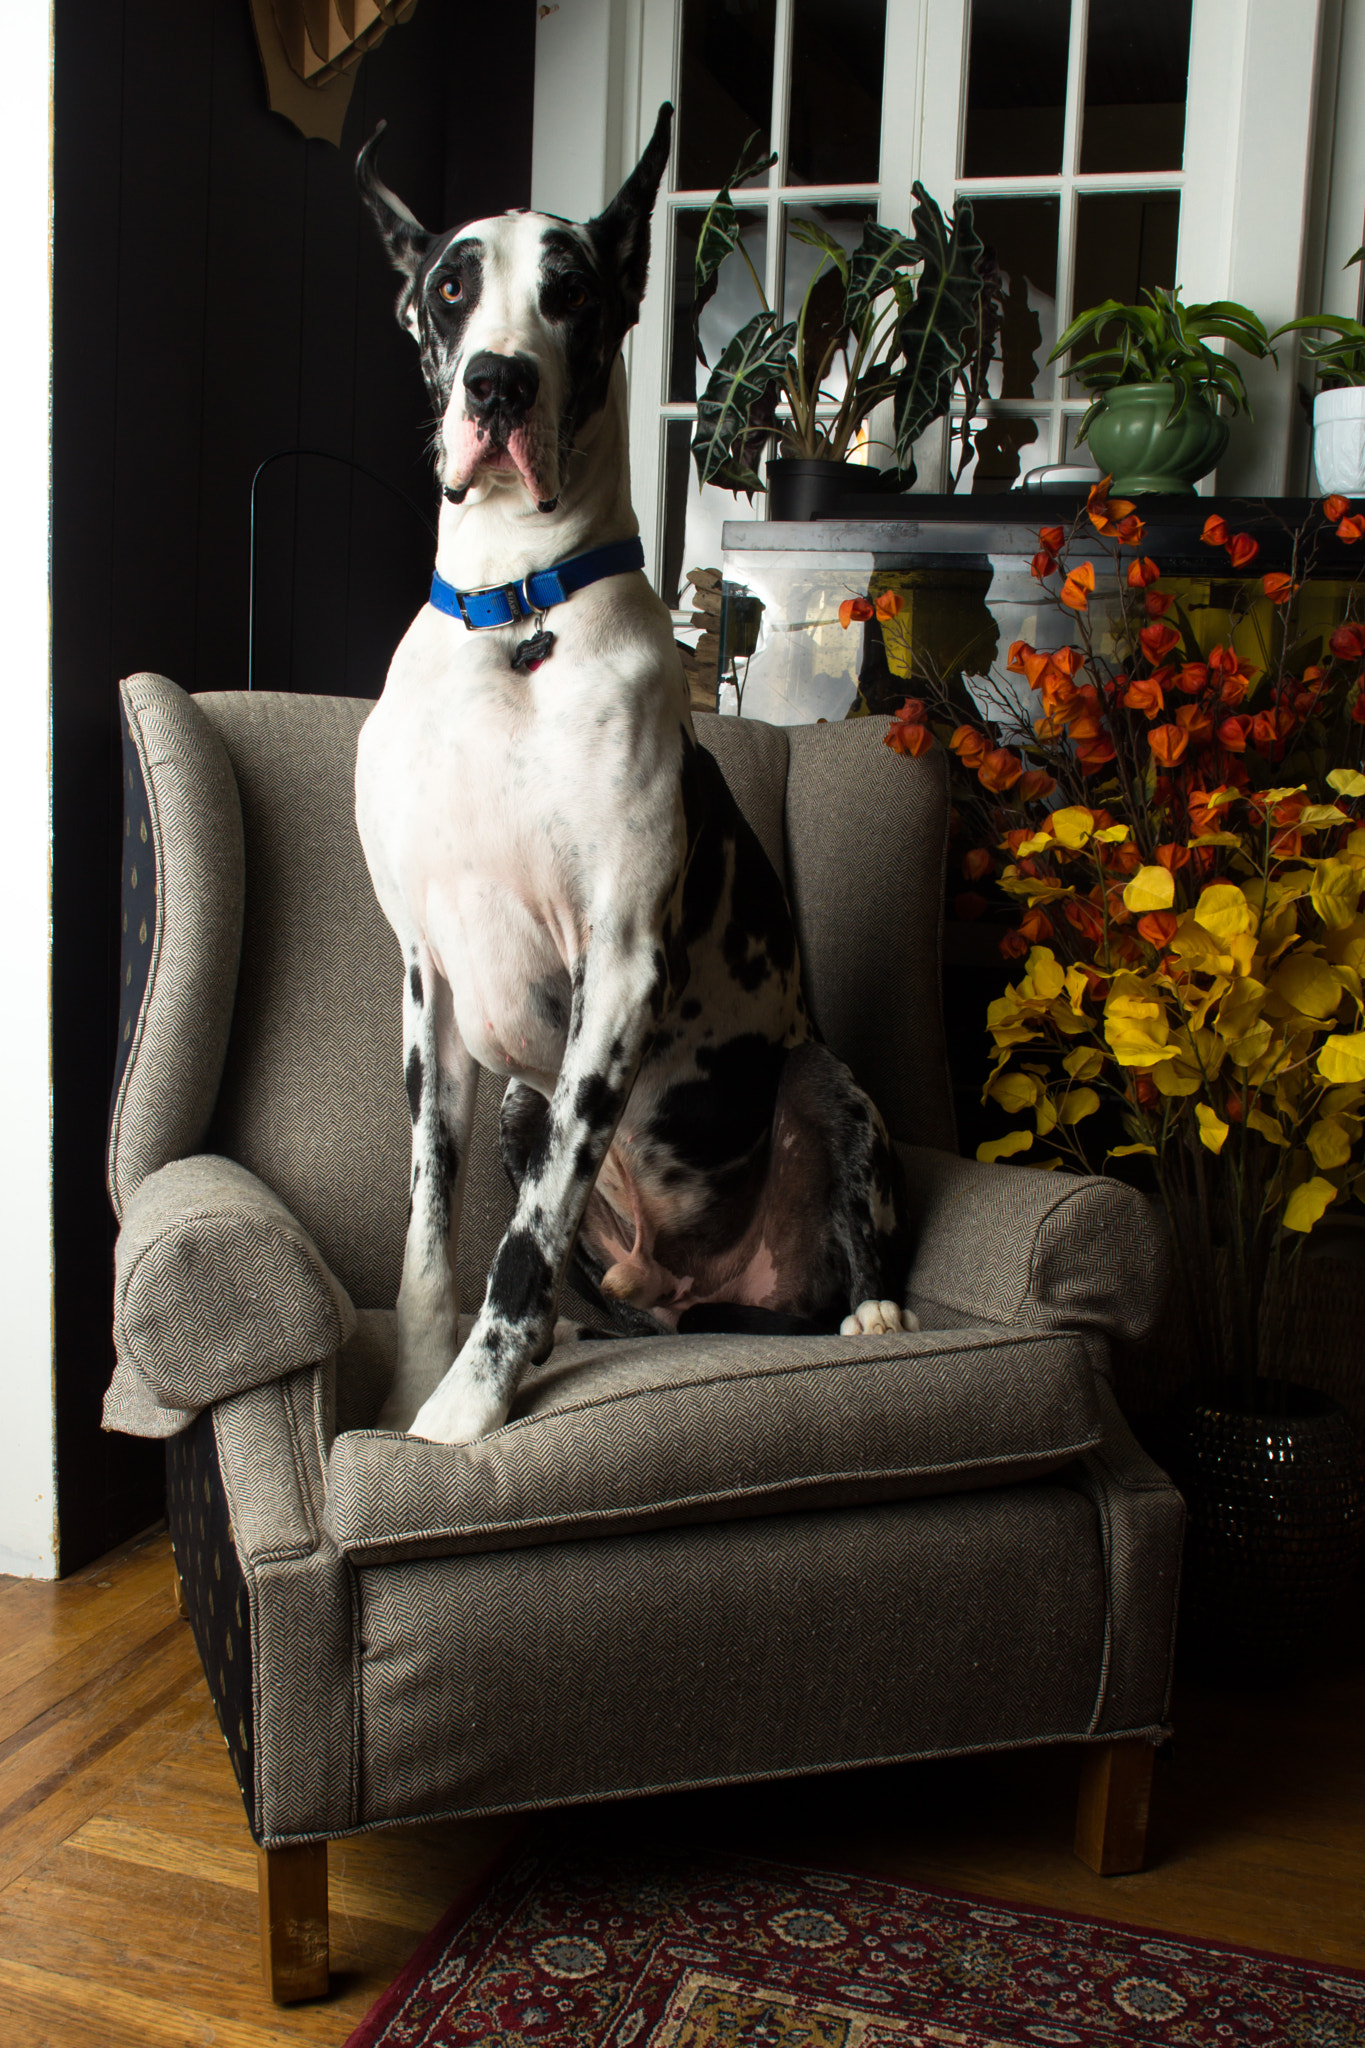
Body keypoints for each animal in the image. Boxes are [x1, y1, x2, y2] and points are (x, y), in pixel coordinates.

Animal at [358, 96, 912, 1441]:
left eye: (572, 291)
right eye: (450, 287)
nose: (498, 380)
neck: (514, 616)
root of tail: (692, 1293)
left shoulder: (617, 969)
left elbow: (520, 1240)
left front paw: (462, 1411)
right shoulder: (429, 983)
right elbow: (427, 1233)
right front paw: (407, 1388)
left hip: (825, 1078)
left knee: (843, 1231)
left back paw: (875, 1310)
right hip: (522, 1096)